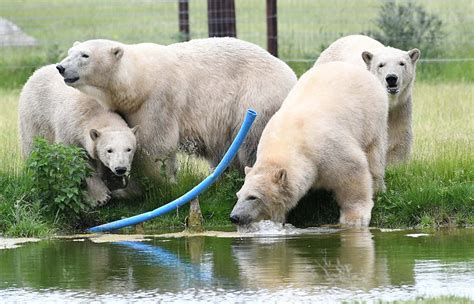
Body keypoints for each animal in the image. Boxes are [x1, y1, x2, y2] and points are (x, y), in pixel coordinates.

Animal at [20, 65, 139, 205]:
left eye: (129, 149)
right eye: (109, 150)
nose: (121, 169)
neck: (95, 111)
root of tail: (37, 71)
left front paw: (116, 184)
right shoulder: (69, 131)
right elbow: (78, 161)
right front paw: (100, 197)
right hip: (35, 115)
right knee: (32, 145)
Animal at [56, 37, 296, 180]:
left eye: (85, 55)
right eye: (70, 51)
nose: (60, 67)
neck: (138, 81)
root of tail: (291, 74)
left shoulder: (158, 99)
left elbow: (156, 144)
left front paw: (161, 182)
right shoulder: (130, 107)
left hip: (256, 98)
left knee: (252, 142)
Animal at [230, 61, 388, 227]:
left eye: (253, 197)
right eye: (238, 195)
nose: (234, 217)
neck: (287, 143)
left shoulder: (328, 148)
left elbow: (353, 171)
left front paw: (355, 218)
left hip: (372, 116)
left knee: (375, 154)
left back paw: (378, 187)